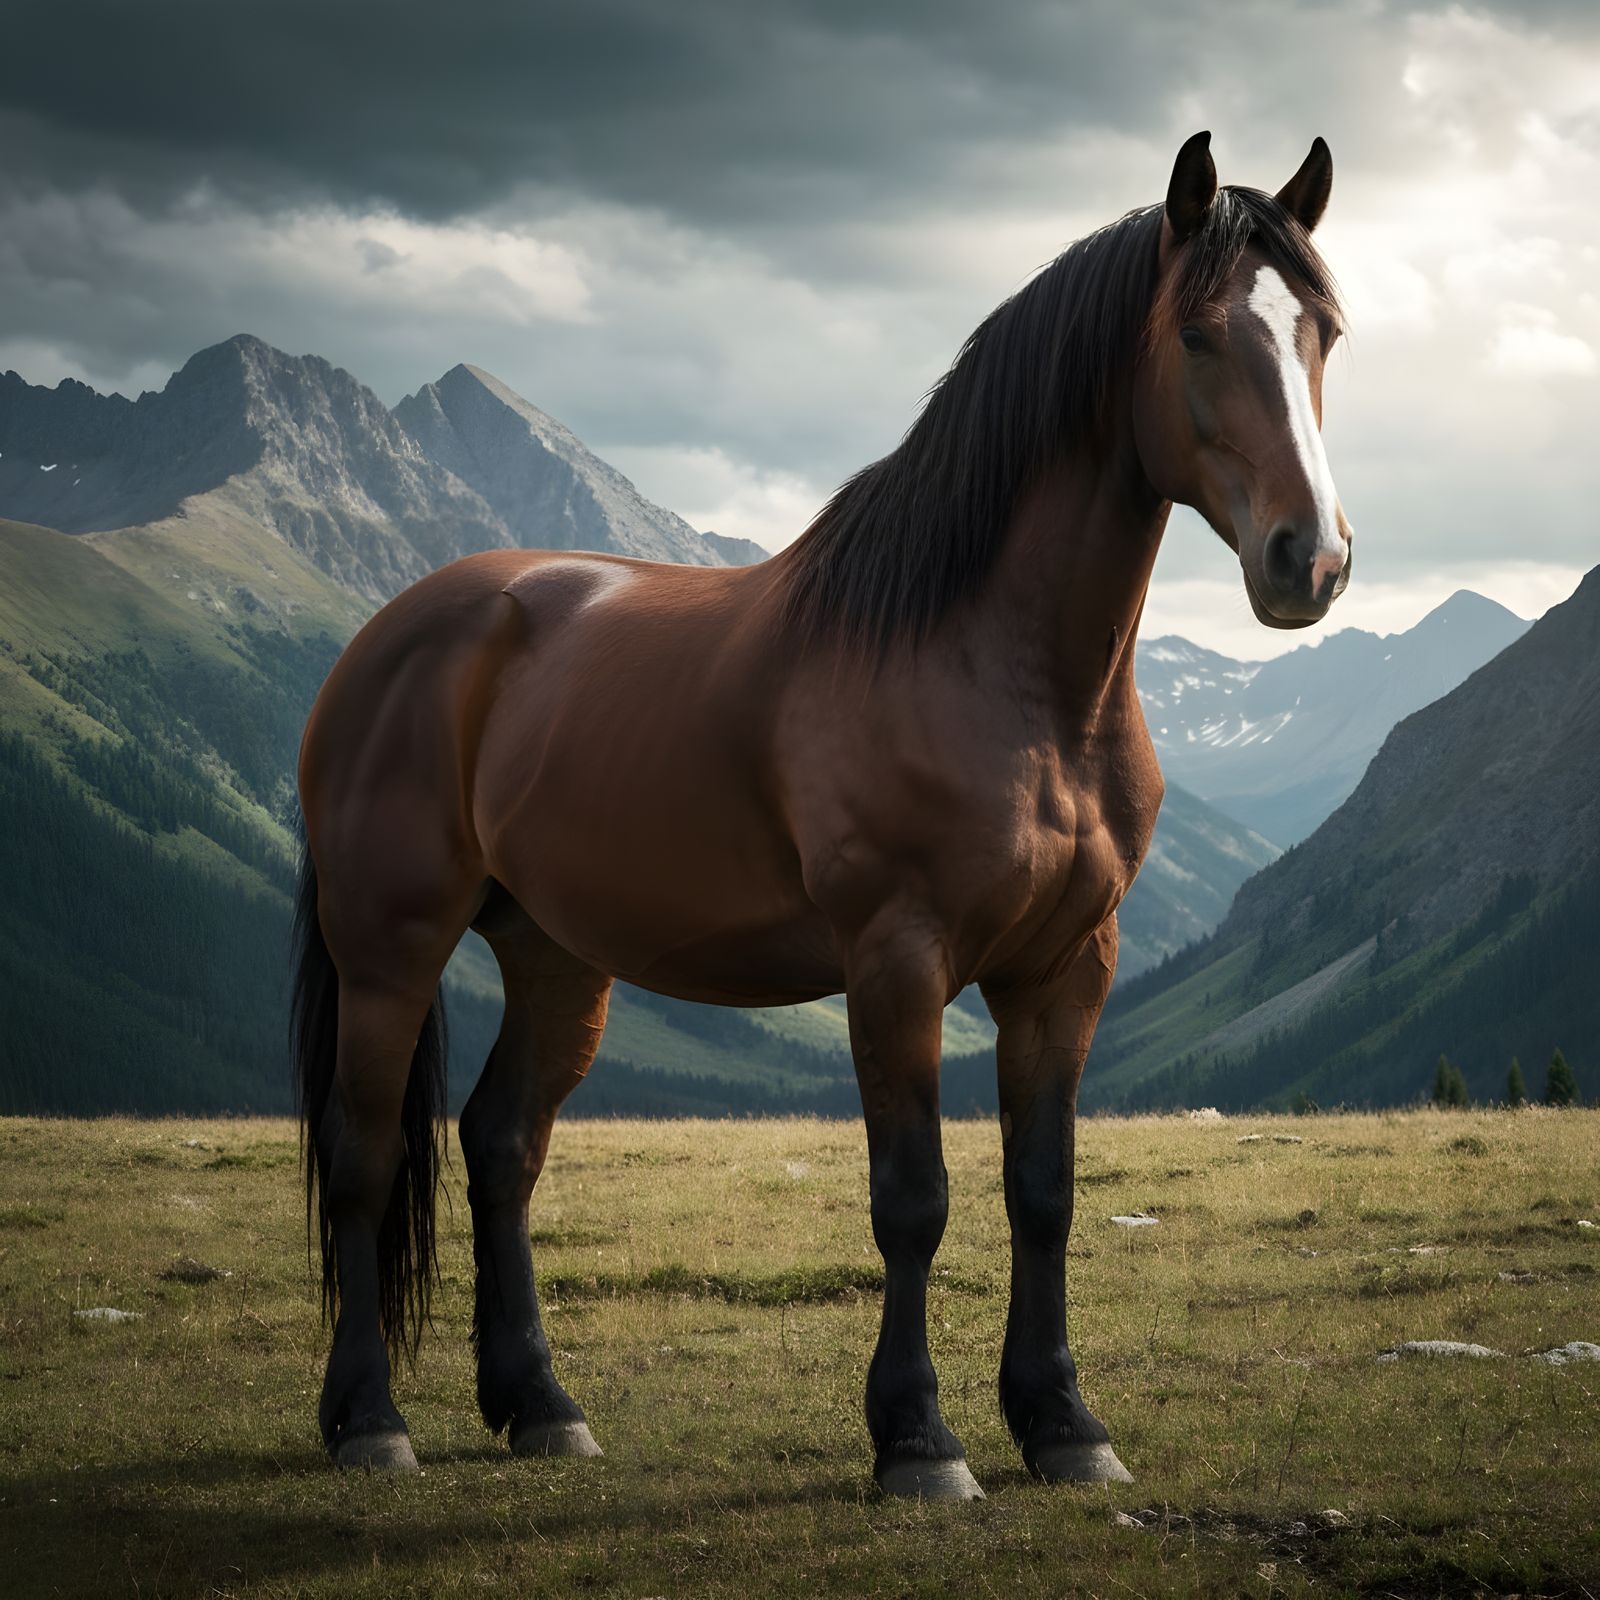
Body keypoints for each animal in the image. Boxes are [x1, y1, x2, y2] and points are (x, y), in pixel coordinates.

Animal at [293, 130, 1351, 1499]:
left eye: (1324, 331)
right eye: (1200, 333)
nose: (1308, 561)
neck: (997, 668)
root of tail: (391, 637)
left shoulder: (1067, 967)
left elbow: (1043, 1190)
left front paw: (1064, 1422)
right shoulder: (895, 961)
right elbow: (914, 1198)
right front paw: (919, 1439)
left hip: (553, 956)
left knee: (502, 1143)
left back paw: (539, 1403)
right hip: (390, 951)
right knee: (366, 1154)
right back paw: (369, 1419)